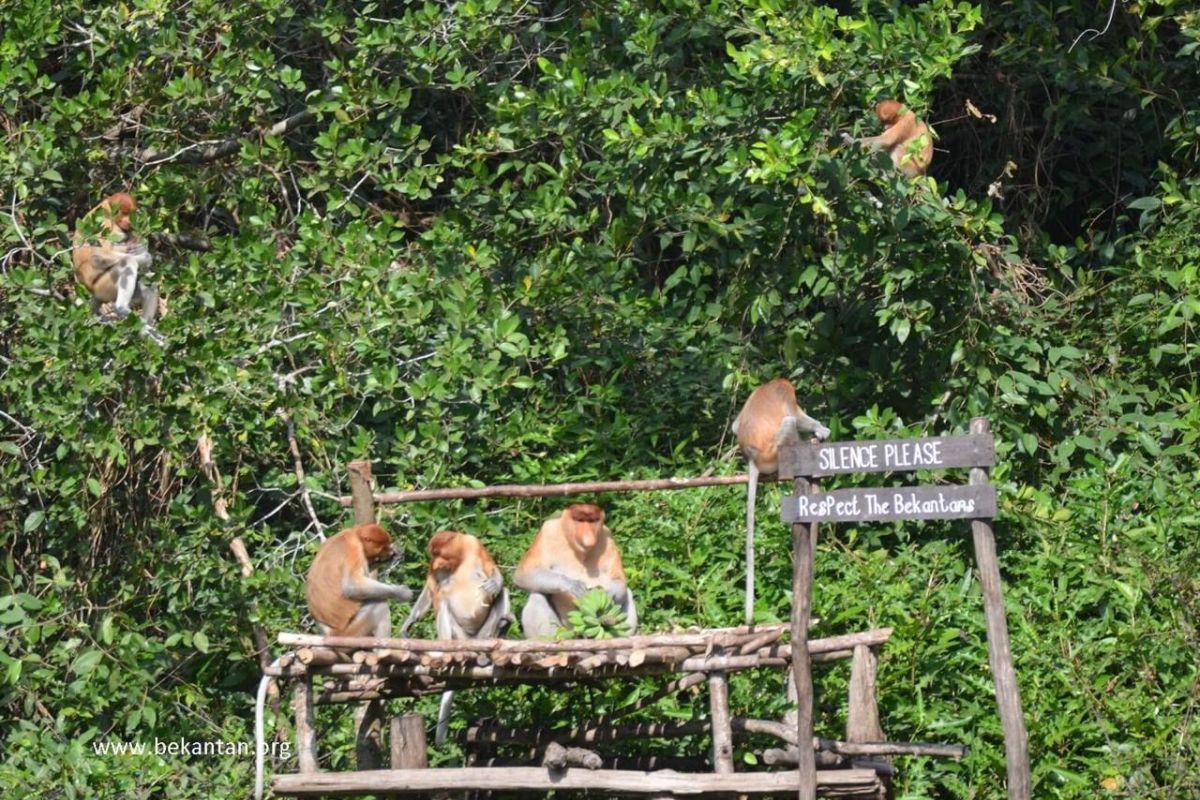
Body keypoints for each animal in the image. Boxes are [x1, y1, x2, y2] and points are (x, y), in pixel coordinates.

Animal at [71, 191, 160, 326]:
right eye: (122, 212)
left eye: (131, 213)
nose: (128, 223)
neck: (107, 211)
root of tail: (91, 291)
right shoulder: (102, 224)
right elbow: (97, 256)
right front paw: (146, 258)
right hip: (103, 287)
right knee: (126, 261)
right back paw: (121, 308)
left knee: (149, 290)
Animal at [400, 532, 513, 743]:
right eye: (433, 554)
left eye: (439, 553)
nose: (436, 561)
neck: (459, 560)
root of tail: (472, 642)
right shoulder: (435, 570)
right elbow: (430, 589)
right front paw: (409, 622)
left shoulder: (473, 544)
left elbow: (491, 568)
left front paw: (495, 580)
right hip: (457, 634)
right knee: (442, 599)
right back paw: (449, 651)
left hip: (482, 633)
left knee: (503, 592)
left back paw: (499, 631)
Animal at [513, 503, 638, 642]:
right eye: (580, 520)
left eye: (592, 521)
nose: (588, 537)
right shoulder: (548, 532)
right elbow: (524, 573)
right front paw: (573, 586)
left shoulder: (607, 538)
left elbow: (618, 580)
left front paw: (607, 595)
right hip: (564, 630)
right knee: (537, 595)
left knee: (628, 593)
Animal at [734, 381, 830, 623]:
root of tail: (753, 458)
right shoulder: (785, 393)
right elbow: (798, 416)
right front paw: (821, 429)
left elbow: (734, 426)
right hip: (775, 452)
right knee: (789, 422)